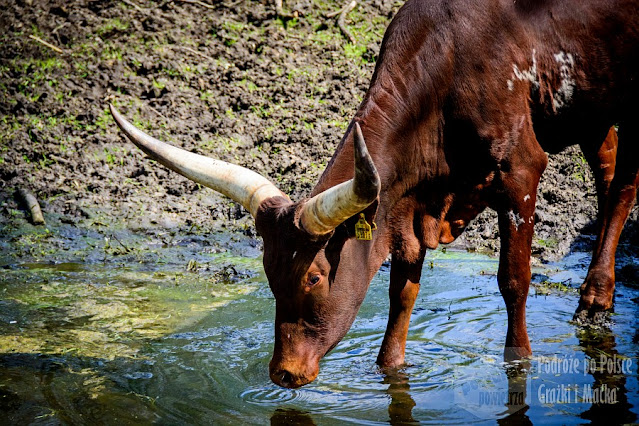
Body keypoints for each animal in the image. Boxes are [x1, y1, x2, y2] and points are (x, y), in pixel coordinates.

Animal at [110, 0, 639, 388]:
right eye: (268, 274)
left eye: (314, 277)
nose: (284, 374)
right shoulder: (406, 205)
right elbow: (401, 290)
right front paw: (390, 368)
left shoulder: (521, 173)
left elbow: (513, 279)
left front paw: (520, 359)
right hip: (592, 103)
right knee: (609, 165)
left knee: (624, 184)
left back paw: (595, 295)